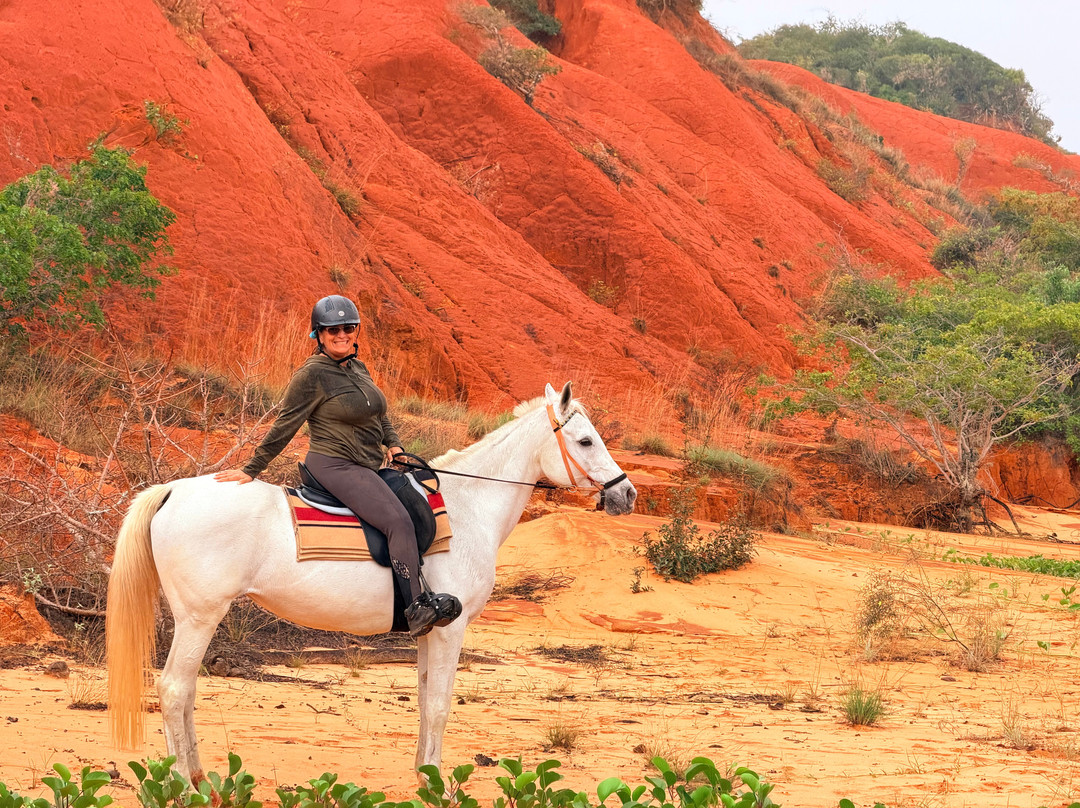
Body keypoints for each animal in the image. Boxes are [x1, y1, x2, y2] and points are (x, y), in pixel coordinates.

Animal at [106, 382, 637, 781]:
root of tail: (173, 491)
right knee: (175, 689)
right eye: (586, 442)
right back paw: (183, 783)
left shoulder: (429, 632)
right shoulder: (451, 630)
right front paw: (438, 783)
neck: (467, 506)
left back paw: (197, 775)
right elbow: (440, 705)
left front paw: (423, 774)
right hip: (200, 617)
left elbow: (423, 700)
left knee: (186, 691)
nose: (627, 494)